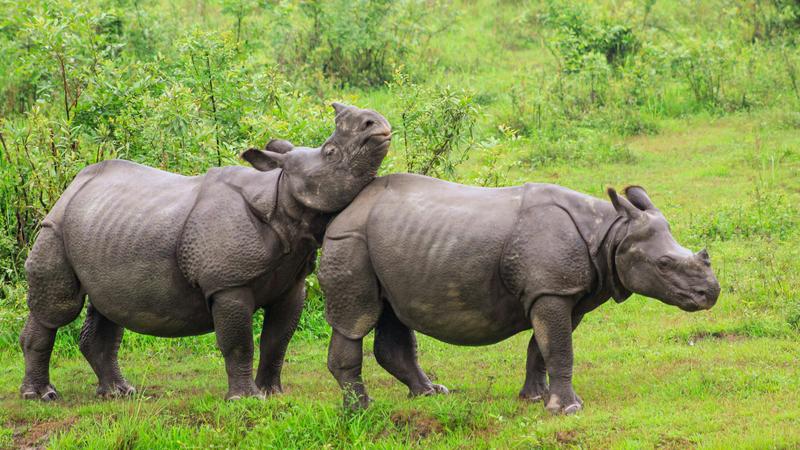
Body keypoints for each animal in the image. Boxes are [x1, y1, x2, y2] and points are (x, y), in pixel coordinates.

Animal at [21, 103, 390, 400]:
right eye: (330, 152)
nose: (376, 124)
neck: (281, 198)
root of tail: (72, 186)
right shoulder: (227, 283)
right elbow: (239, 342)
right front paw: (246, 400)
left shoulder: (292, 283)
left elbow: (277, 340)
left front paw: (273, 393)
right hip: (55, 227)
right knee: (57, 309)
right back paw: (42, 396)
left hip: (104, 227)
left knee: (108, 307)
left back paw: (119, 393)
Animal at [318, 174, 720, 414]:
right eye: (664, 264)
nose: (711, 293)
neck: (609, 233)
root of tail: (347, 208)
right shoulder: (552, 289)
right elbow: (559, 347)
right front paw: (568, 409)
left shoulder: (561, 291)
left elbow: (542, 347)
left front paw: (535, 398)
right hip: (349, 239)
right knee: (356, 319)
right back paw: (361, 409)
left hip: (388, 243)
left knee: (392, 314)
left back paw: (431, 393)